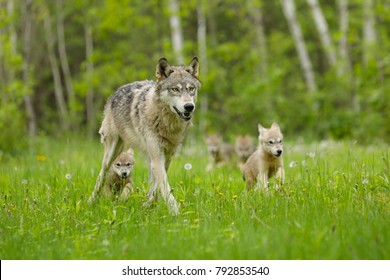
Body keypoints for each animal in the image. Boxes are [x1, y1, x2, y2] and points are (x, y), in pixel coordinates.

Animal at [88, 56, 201, 214]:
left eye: (191, 89)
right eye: (175, 89)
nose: (189, 107)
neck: (165, 122)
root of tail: (116, 91)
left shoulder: (166, 158)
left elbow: (157, 187)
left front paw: (148, 206)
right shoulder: (157, 157)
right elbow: (165, 188)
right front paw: (175, 213)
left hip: (147, 156)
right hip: (112, 153)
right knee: (101, 174)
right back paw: (91, 201)